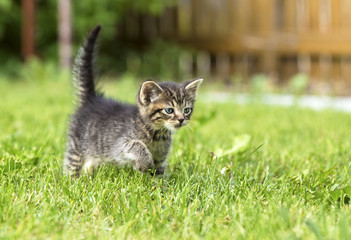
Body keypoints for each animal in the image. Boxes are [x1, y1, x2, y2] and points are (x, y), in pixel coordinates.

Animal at [64, 25, 204, 178]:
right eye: (169, 110)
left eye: (186, 110)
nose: (181, 119)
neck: (158, 134)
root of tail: (92, 98)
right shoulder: (119, 145)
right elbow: (136, 145)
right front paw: (143, 164)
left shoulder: (160, 160)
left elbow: (159, 174)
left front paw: (159, 184)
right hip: (76, 146)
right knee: (71, 164)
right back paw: (71, 180)